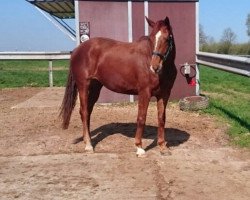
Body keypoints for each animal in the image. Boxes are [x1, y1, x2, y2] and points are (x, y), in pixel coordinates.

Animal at [60, 16, 177, 156]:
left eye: (167, 38)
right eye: (151, 38)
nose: (154, 67)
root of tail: (77, 50)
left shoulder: (164, 94)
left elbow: (161, 118)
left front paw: (163, 147)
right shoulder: (145, 92)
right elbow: (141, 117)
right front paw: (139, 148)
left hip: (95, 88)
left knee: (87, 112)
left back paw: (87, 141)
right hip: (83, 86)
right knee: (84, 111)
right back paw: (88, 145)